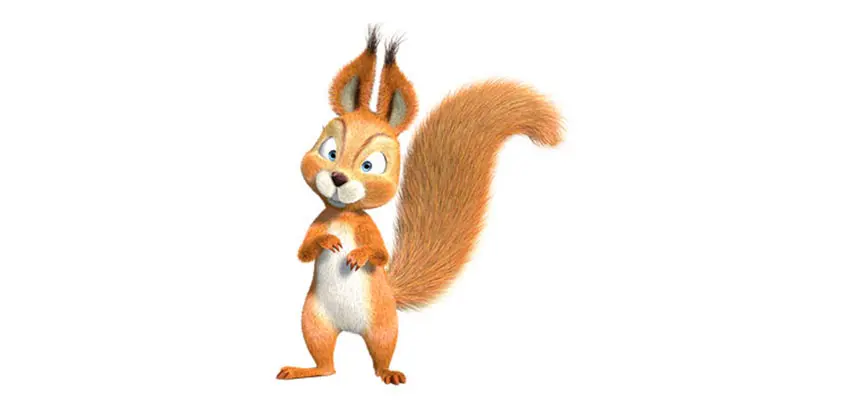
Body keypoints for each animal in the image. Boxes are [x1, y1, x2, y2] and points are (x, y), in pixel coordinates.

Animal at [277, 26, 563, 385]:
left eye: (371, 165)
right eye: (329, 150)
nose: (338, 178)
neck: (343, 216)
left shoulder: (368, 229)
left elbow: (379, 254)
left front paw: (359, 255)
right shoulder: (318, 221)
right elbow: (303, 252)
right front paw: (327, 241)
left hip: (382, 327)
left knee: (378, 356)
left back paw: (388, 374)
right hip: (313, 321)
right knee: (327, 364)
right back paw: (305, 369)